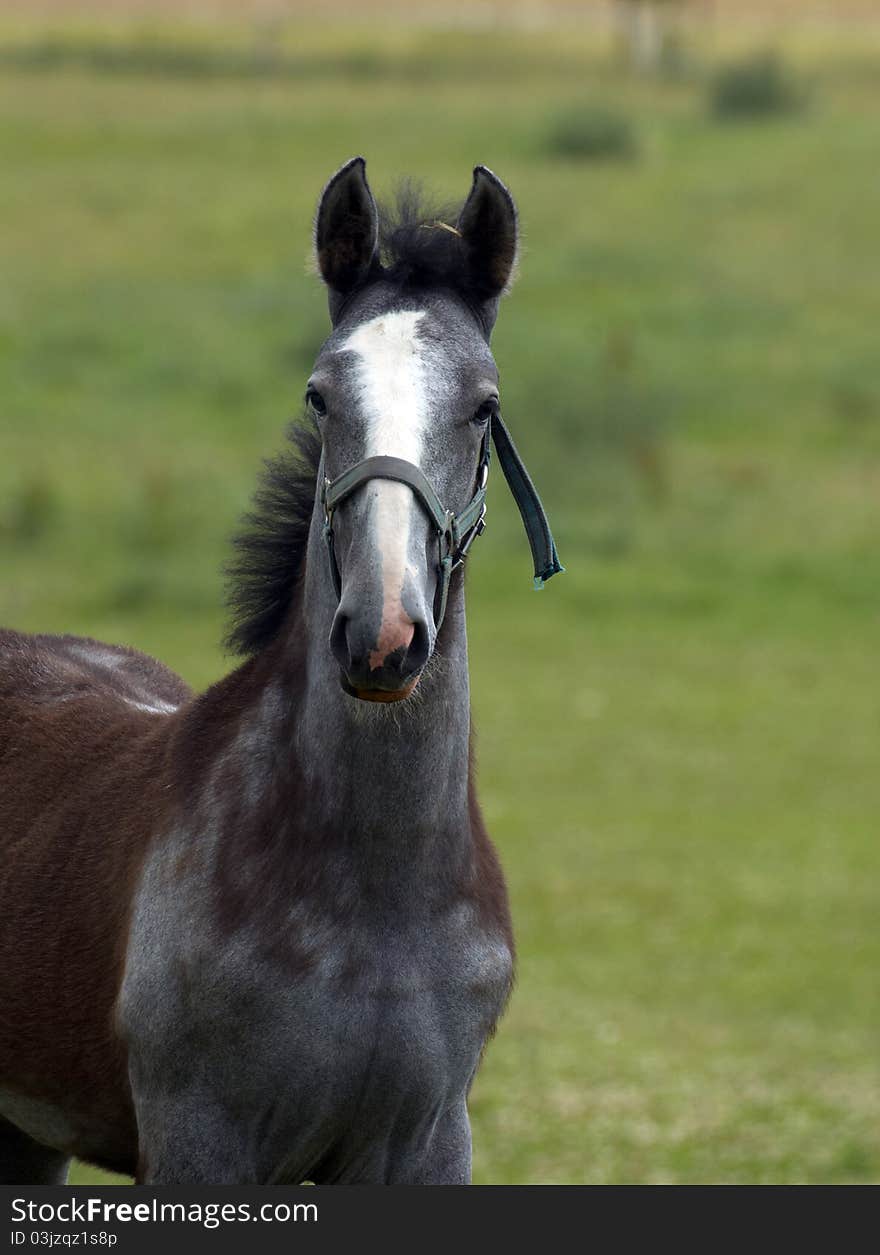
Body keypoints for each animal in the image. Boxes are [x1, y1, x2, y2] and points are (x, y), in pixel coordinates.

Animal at [0, 159, 559, 1184]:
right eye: (320, 396)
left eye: (485, 405)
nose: (383, 634)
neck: (371, 898)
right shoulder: (200, 1141)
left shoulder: (425, 1143)